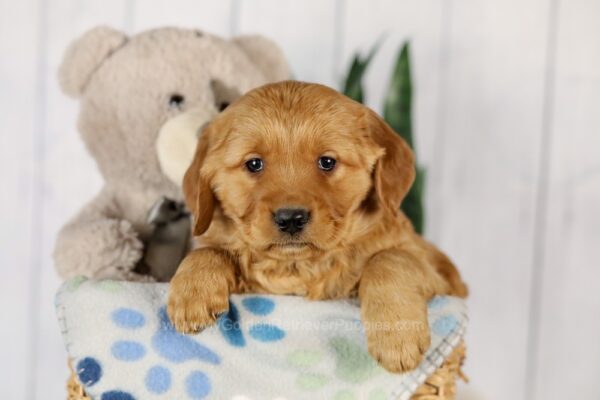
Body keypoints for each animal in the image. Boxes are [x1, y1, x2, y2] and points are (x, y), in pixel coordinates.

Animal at [166, 80, 466, 372]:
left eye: (327, 162)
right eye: (253, 164)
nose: (290, 218)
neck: (298, 267)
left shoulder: (439, 274)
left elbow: (390, 258)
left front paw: (397, 336)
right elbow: (207, 250)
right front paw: (192, 295)